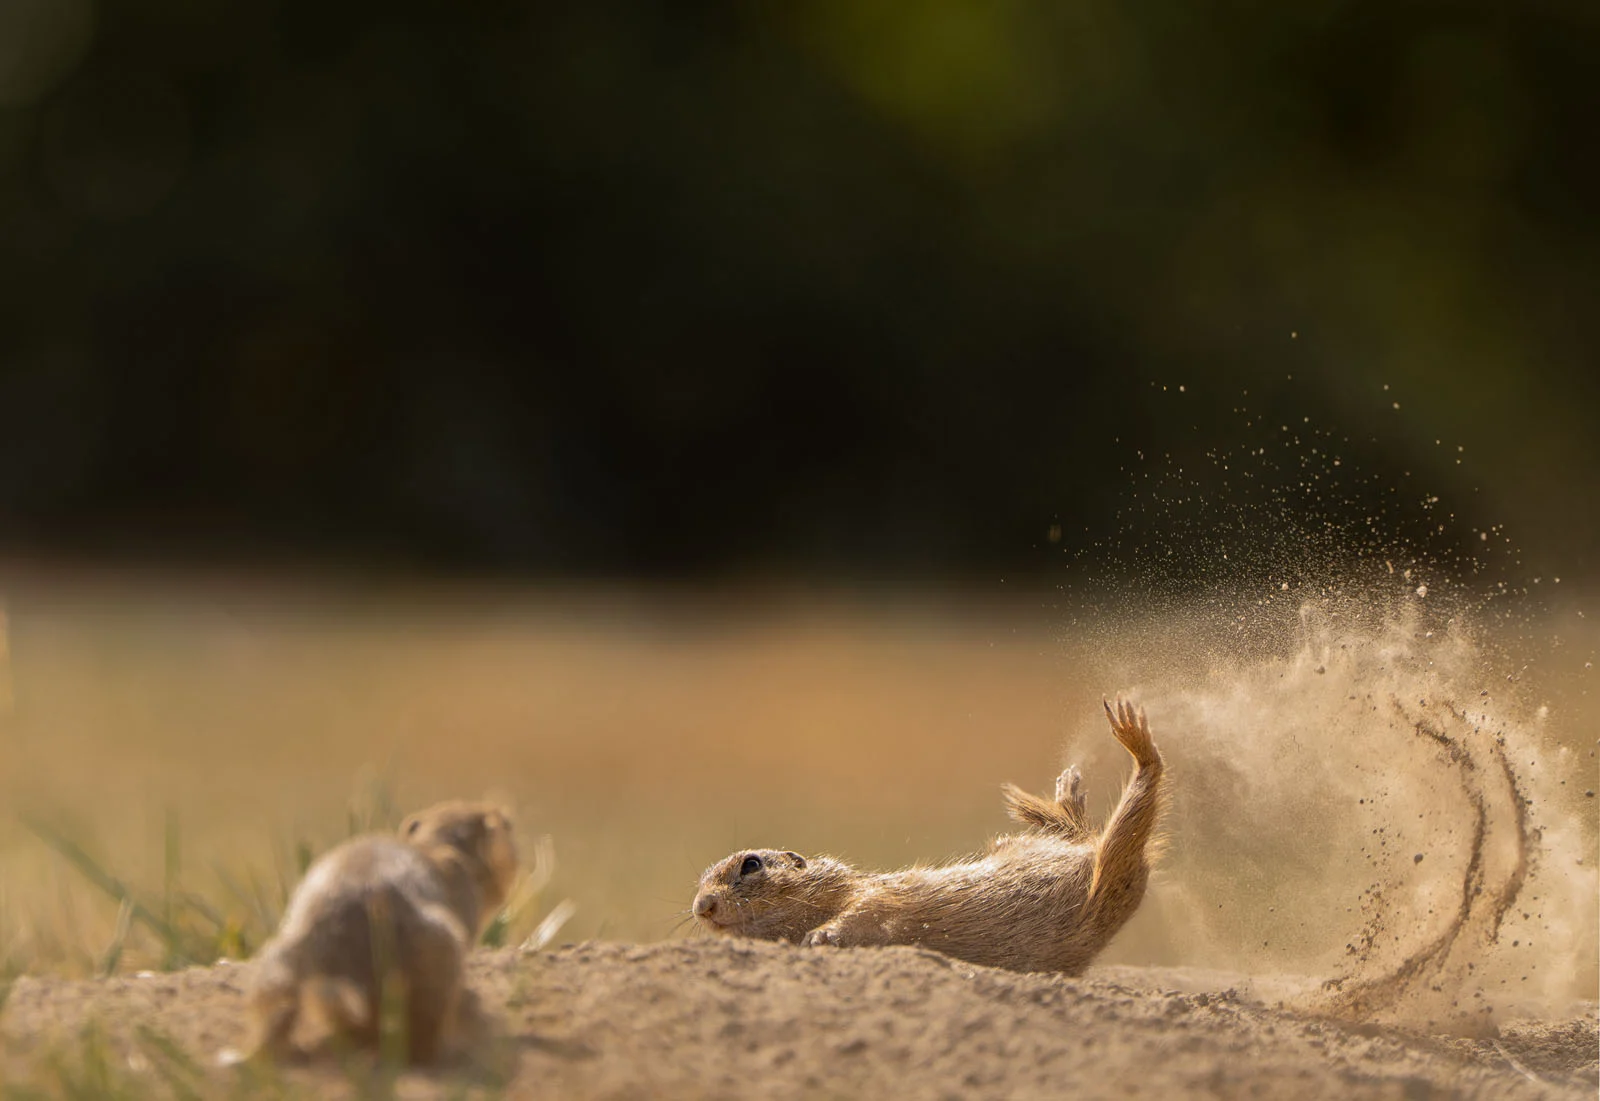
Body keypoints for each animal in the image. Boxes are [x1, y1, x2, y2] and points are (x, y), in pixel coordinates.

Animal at [688, 697, 1164, 972]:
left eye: (751, 864)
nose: (701, 907)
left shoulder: (873, 894)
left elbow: (867, 909)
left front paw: (821, 935)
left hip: (1106, 866)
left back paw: (1110, 757)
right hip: (1112, 866)